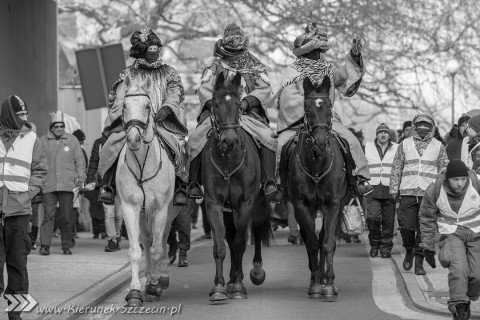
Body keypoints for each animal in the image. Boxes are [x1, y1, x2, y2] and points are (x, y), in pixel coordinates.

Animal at [116, 74, 178, 306]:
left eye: (147, 106)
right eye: (124, 106)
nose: (133, 139)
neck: (143, 162)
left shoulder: (160, 209)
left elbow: (158, 248)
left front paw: (153, 286)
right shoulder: (130, 207)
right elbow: (136, 250)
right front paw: (135, 291)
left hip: (170, 212)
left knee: (162, 240)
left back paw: (161, 280)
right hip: (144, 214)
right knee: (147, 239)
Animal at [202, 70, 272, 302]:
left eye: (237, 105)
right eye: (215, 104)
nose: (229, 141)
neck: (228, 162)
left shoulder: (245, 203)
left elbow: (241, 243)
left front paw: (240, 286)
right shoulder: (213, 205)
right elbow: (221, 246)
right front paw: (219, 287)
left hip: (258, 203)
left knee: (256, 231)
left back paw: (255, 273)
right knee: (231, 238)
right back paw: (232, 279)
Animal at [284, 77, 348, 300]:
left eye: (329, 109)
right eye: (307, 109)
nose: (320, 143)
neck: (317, 165)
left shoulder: (333, 204)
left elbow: (327, 242)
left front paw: (329, 285)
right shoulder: (302, 205)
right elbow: (311, 242)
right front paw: (316, 285)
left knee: (325, 240)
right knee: (310, 238)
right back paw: (316, 278)